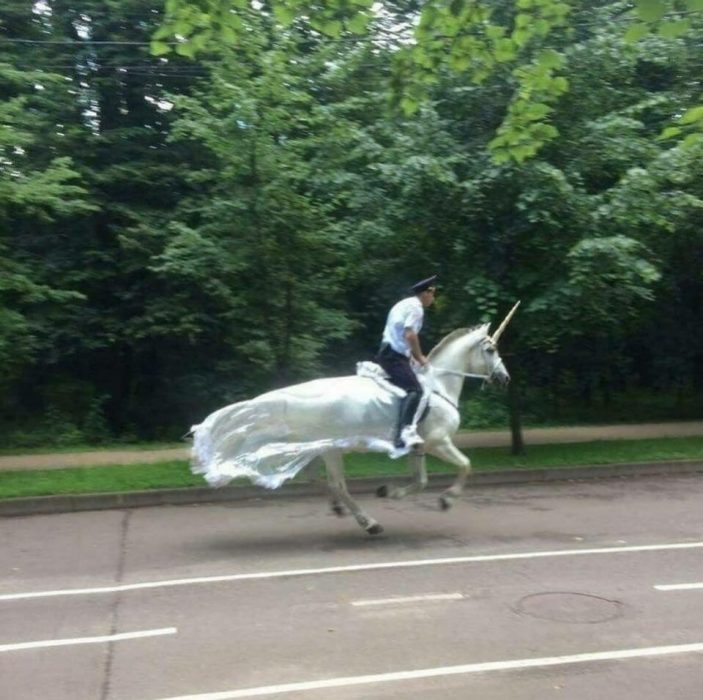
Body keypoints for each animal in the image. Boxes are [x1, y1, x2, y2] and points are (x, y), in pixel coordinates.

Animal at [190, 302, 520, 536]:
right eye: (491, 349)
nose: (505, 378)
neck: (438, 386)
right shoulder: (439, 442)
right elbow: (465, 465)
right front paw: (447, 500)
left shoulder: (419, 447)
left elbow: (421, 481)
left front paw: (390, 491)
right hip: (332, 449)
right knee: (338, 486)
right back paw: (369, 523)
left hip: (321, 449)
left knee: (322, 481)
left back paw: (343, 510)